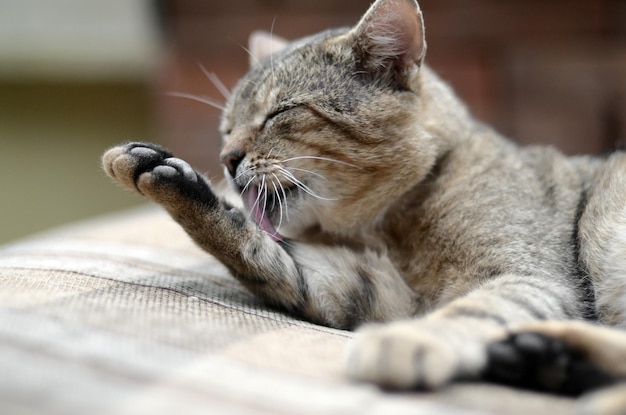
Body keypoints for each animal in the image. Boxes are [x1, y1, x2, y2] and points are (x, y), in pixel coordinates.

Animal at [103, 0, 624, 412]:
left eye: (280, 113)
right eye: (226, 128)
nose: (226, 160)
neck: (387, 226)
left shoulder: (530, 277)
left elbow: (469, 311)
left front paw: (410, 341)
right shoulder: (375, 291)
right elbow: (260, 253)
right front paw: (167, 176)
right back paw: (549, 360)